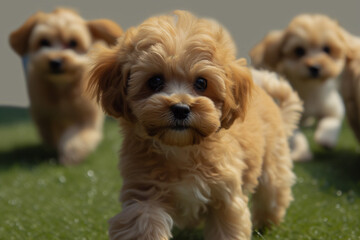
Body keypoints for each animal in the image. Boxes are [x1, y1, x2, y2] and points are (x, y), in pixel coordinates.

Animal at [8, 7, 124, 165]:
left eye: (73, 43)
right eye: (44, 42)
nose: (55, 61)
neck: (62, 86)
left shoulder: (86, 116)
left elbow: (78, 137)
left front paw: (71, 154)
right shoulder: (43, 112)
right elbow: (50, 131)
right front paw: (57, 145)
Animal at [87, 10, 300, 239]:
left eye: (201, 83)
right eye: (155, 81)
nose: (181, 108)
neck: (182, 150)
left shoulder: (226, 195)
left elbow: (227, 228)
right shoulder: (144, 192)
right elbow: (144, 223)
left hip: (272, 161)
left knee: (273, 191)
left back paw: (267, 223)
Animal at [249, 13, 352, 160]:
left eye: (327, 49)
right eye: (299, 51)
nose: (315, 67)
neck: (309, 89)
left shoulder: (333, 108)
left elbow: (330, 122)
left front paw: (326, 140)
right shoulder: (292, 113)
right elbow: (296, 137)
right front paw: (302, 153)